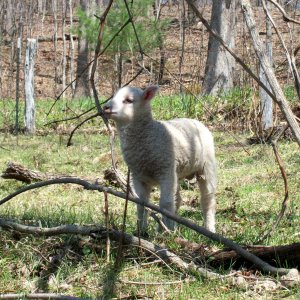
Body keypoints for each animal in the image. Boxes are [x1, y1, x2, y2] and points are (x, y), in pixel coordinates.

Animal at [103, 85, 218, 233]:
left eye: (129, 100)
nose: (106, 107)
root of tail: (196, 121)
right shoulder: (138, 175)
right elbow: (142, 203)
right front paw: (142, 230)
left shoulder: (165, 170)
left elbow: (165, 203)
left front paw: (168, 232)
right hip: (176, 171)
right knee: (177, 199)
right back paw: (166, 226)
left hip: (206, 166)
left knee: (207, 199)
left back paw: (208, 228)